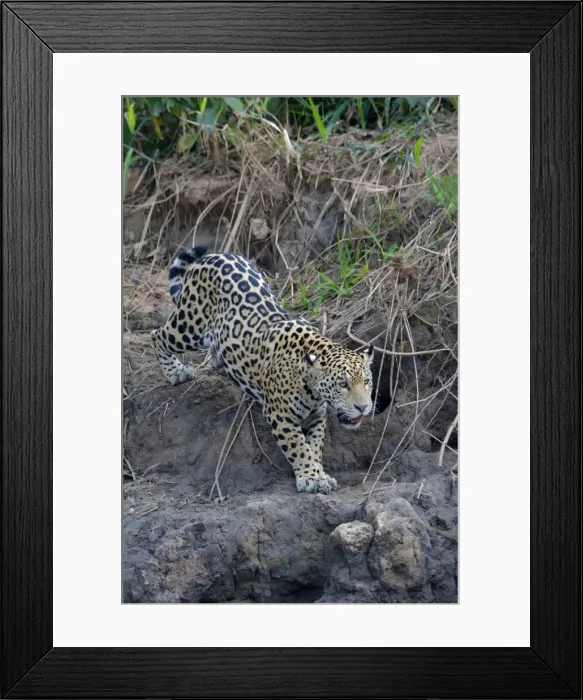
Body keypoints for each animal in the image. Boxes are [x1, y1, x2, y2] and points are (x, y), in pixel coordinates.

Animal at [151, 245, 374, 494]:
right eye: (343, 385)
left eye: (366, 381)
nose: (363, 407)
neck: (311, 383)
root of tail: (214, 256)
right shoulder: (280, 415)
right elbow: (299, 447)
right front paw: (311, 478)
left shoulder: (317, 415)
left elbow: (315, 446)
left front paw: (320, 473)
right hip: (190, 325)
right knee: (158, 335)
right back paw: (175, 372)